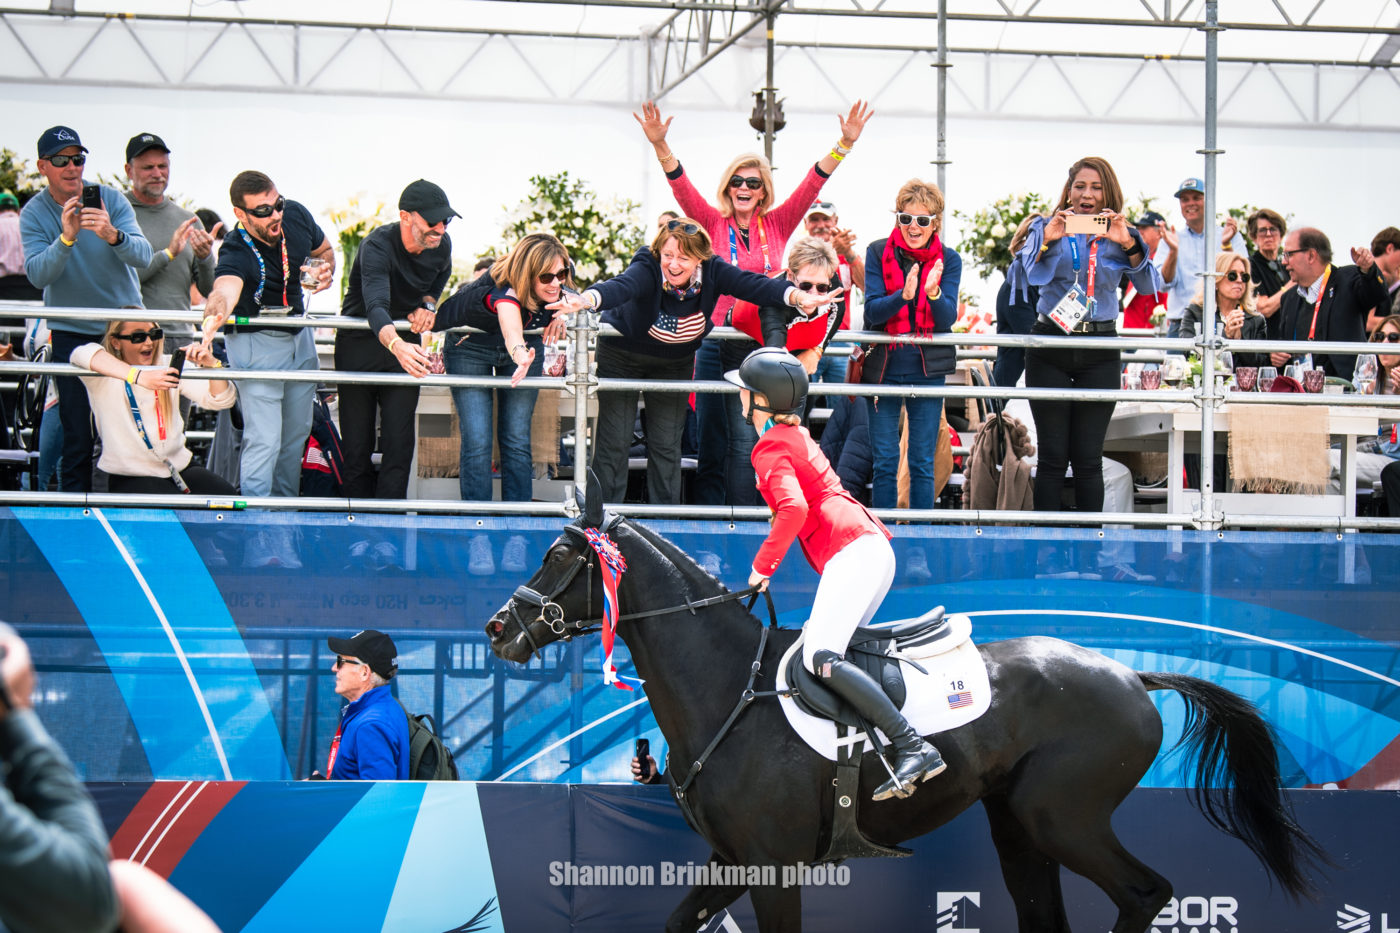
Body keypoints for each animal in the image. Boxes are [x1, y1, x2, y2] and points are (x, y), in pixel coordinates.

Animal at [484, 501, 1321, 930]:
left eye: (559, 555)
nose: (497, 627)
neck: (726, 687)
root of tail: (1126, 672)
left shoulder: (773, 863)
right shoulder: (730, 859)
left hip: (1064, 817)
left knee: (1143, 893)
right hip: (1020, 828)